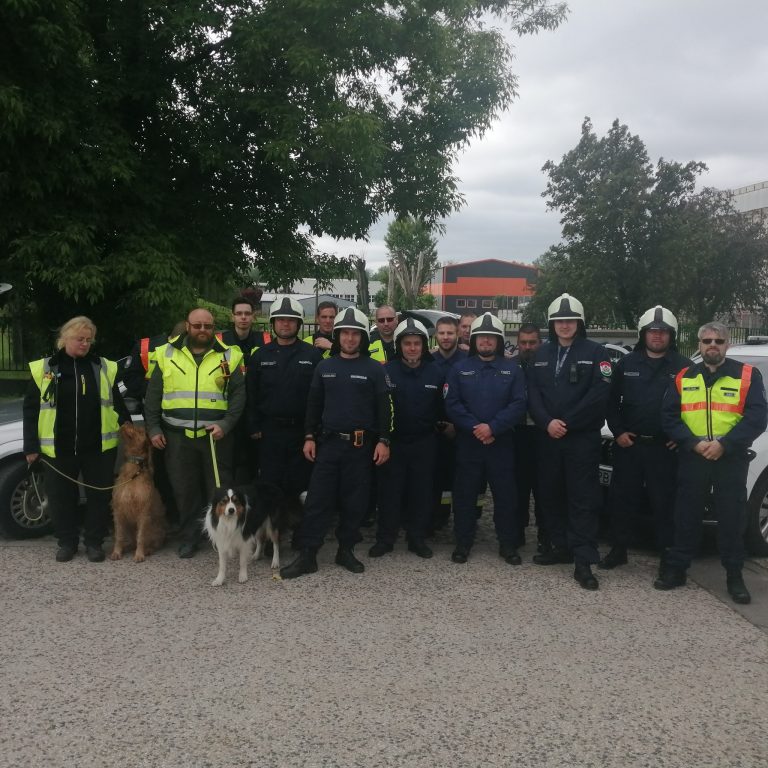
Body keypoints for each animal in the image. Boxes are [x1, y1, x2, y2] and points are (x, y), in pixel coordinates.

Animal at [109, 424, 166, 560]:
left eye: (140, 430)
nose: (126, 421)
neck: (134, 469)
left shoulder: (143, 511)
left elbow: (141, 537)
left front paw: (139, 554)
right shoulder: (118, 510)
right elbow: (119, 536)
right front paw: (117, 552)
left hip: (156, 528)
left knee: (154, 543)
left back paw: (147, 550)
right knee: (131, 540)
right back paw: (128, 546)